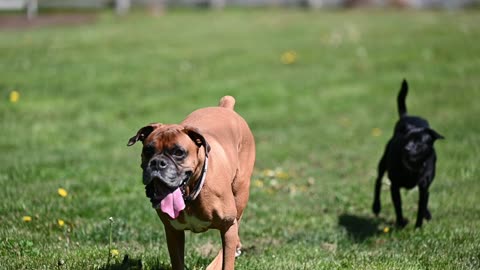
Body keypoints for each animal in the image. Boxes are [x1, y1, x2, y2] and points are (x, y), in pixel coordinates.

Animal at [126, 96, 255, 270]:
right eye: (148, 150)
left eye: (179, 152)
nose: (158, 163)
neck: (190, 194)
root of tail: (225, 107)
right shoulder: (173, 232)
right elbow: (178, 262)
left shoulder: (227, 225)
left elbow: (227, 260)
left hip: (240, 194)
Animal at [374, 79, 444, 228]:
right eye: (405, 140)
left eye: (419, 142)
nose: (406, 148)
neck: (413, 167)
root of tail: (406, 116)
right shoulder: (394, 186)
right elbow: (398, 206)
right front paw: (400, 223)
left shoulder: (424, 187)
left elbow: (421, 206)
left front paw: (418, 227)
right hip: (383, 163)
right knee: (378, 181)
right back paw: (376, 206)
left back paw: (427, 214)